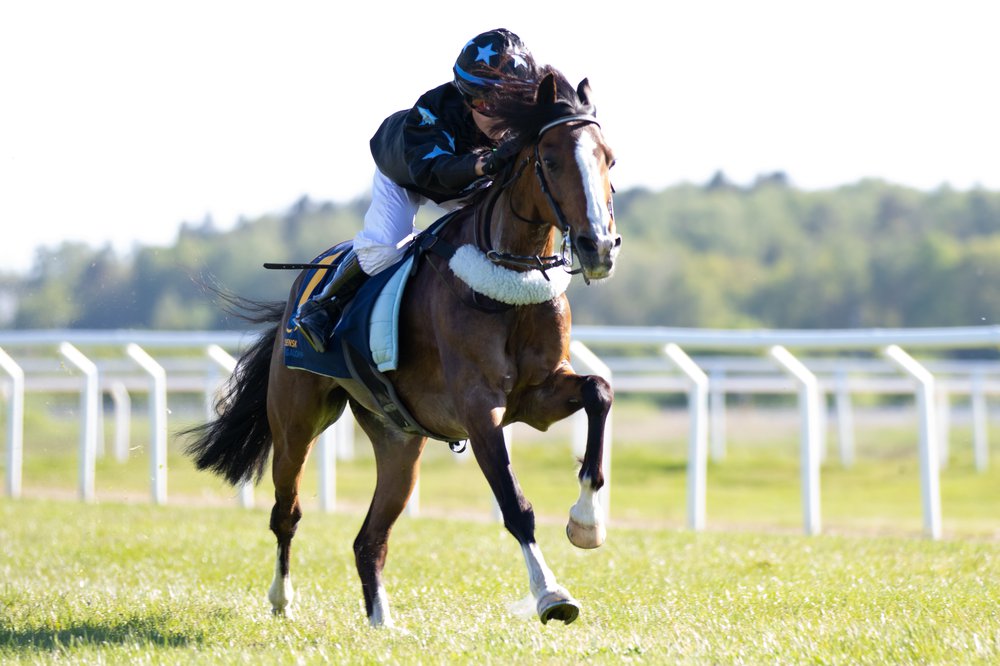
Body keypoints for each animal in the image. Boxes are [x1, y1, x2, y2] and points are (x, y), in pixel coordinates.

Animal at [181, 70, 616, 624]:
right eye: (552, 160)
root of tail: (297, 295)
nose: (598, 247)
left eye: (609, 159)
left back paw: (382, 622)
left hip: (399, 442)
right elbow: (515, 505)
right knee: (287, 512)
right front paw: (550, 593)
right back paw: (282, 599)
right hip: (296, 419)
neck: (507, 284)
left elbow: (599, 391)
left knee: (368, 539)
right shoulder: (479, 409)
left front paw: (587, 521)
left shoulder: (538, 395)